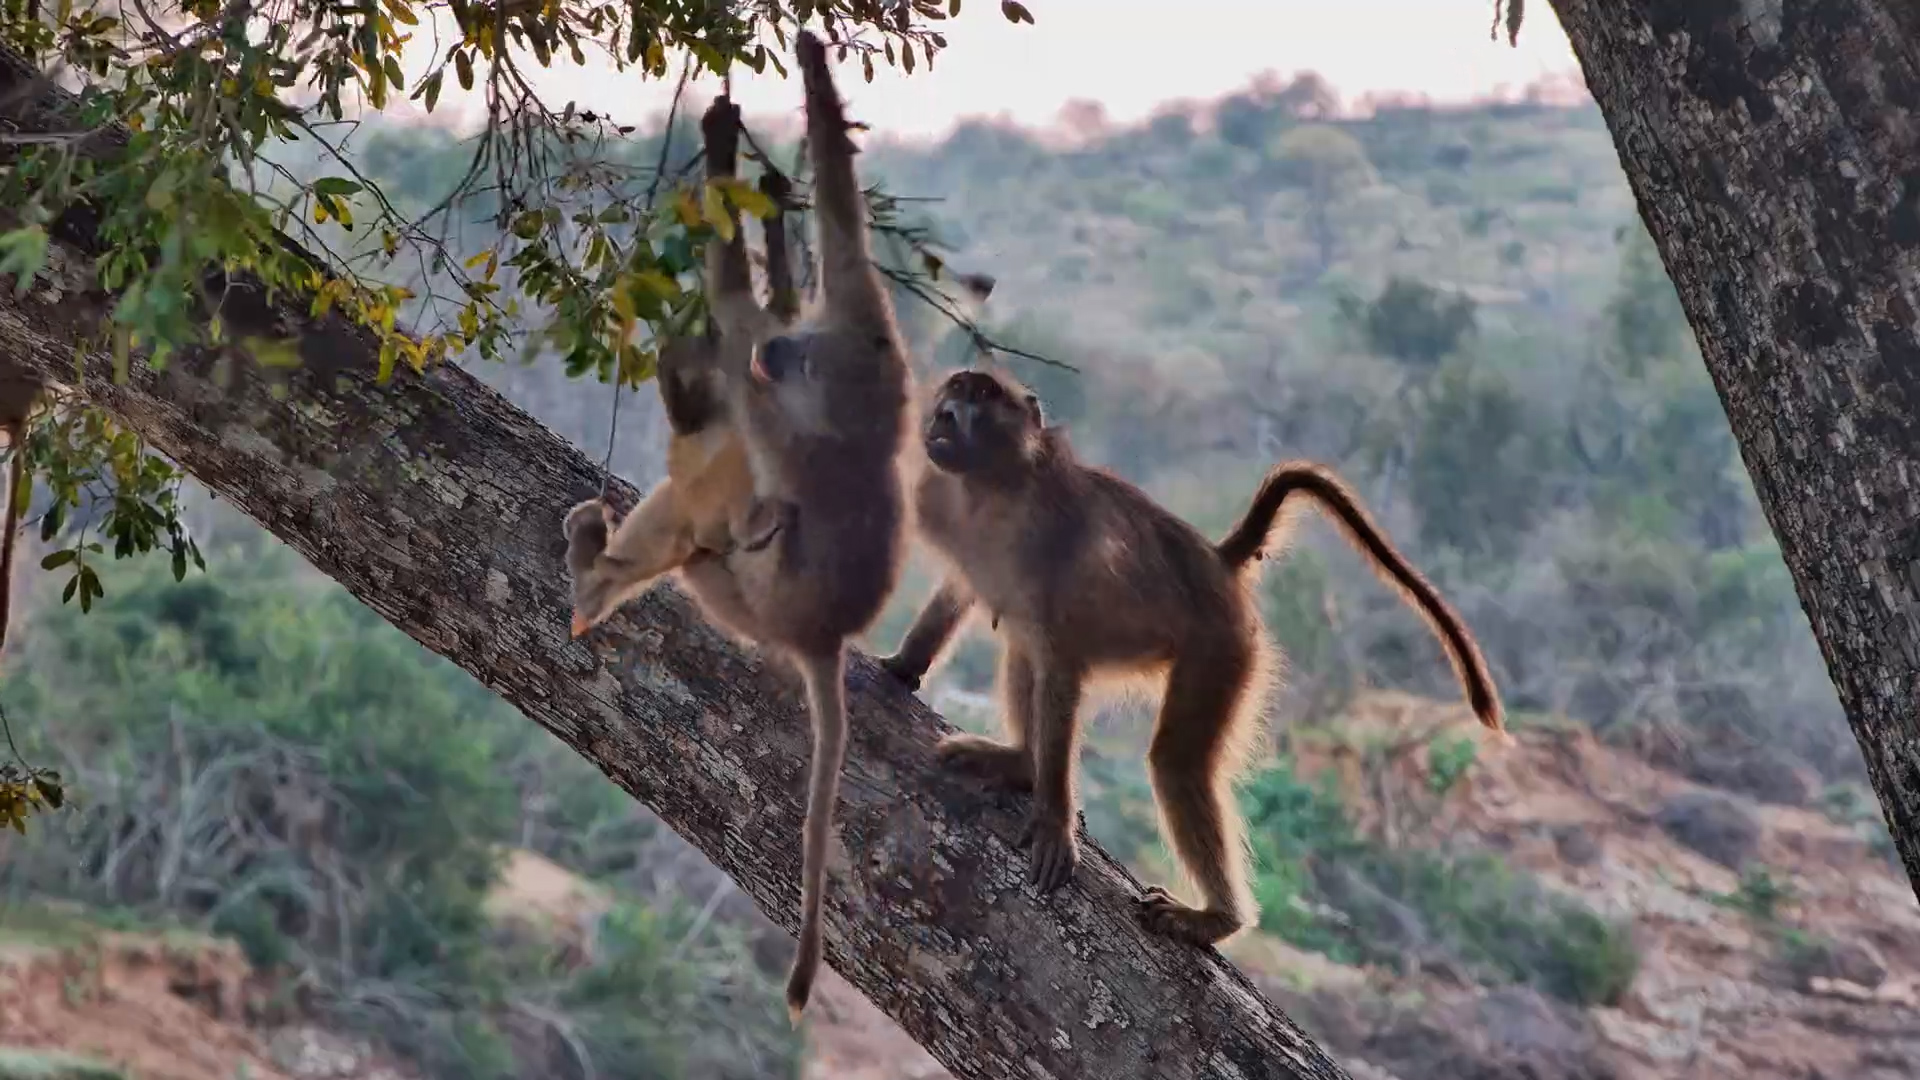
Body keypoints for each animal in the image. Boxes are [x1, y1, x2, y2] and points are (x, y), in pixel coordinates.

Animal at [562, 33, 913, 1022]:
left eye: (805, 365)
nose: (783, 357)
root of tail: (821, 637)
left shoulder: (804, 419)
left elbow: (737, 326)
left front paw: (726, 153)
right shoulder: (867, 336)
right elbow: (836, 225)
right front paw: (799, 110)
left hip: (736, 594)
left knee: (703, 521)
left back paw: (597, 576)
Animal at [877, 366, 1503, 949]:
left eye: (980, 399)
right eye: (953, 392)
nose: (944, 416)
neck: (992, 487)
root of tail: (1217, 561)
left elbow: (1060, 661)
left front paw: (1055, 821)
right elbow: (963, 595)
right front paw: (900, 666)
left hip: (1222, 646)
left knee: (1174, 761)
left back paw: (1216, 919)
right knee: (1023, 651)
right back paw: (1019, 763)